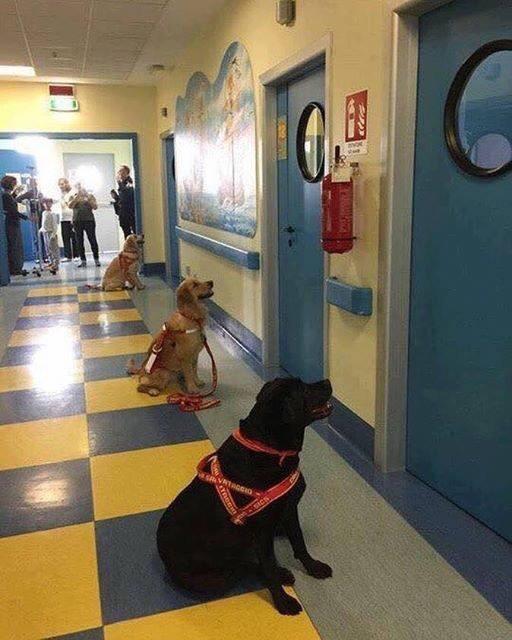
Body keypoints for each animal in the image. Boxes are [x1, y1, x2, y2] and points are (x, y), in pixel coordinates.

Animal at [157, 378, 332, 612]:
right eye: (304, 389)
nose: (328, 381)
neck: (270, 449)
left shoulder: (289, 509)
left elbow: (299, 542)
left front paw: (314, 567)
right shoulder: (262, 531)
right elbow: (268, 567)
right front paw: (283, 602)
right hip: (214, 578)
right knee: (243, 567)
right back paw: (281, 573)